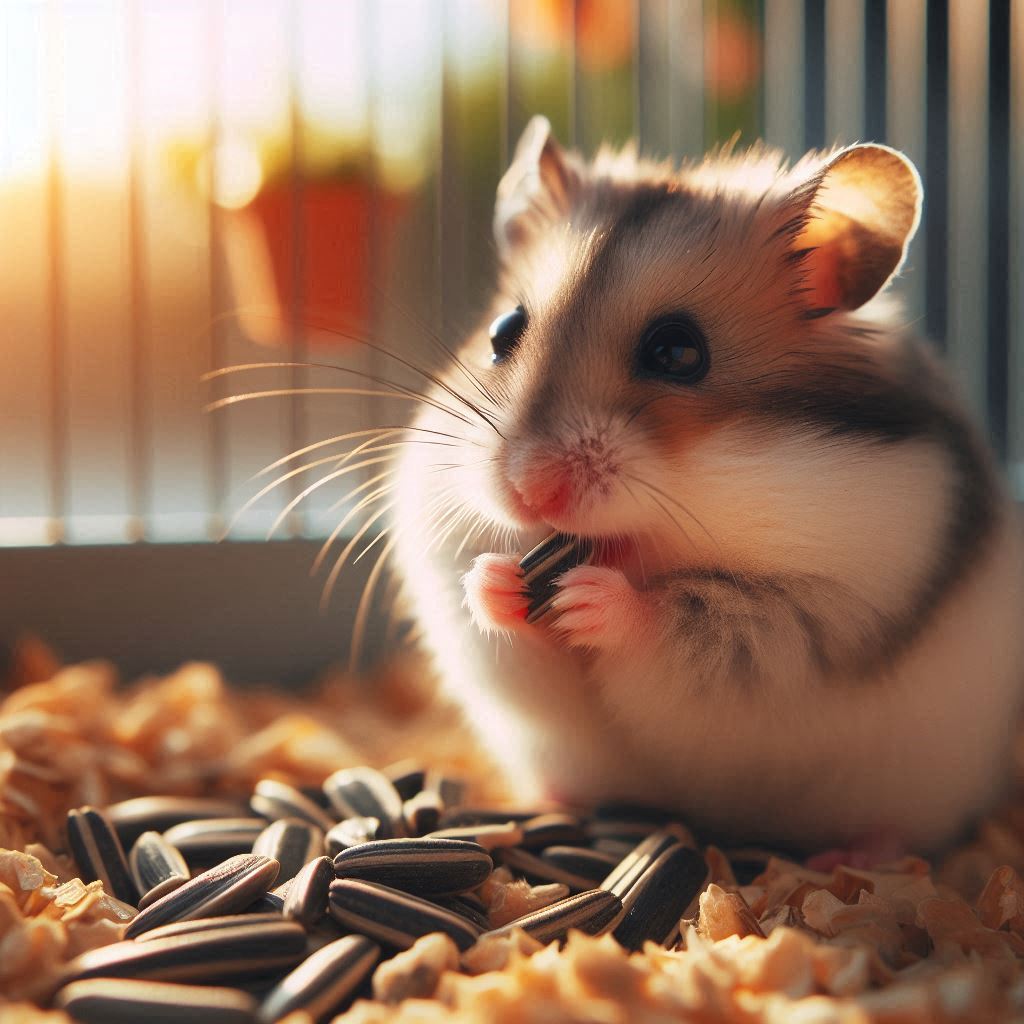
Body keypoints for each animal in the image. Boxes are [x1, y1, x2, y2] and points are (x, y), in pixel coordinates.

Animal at [389, 117, 1024, 856]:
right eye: (501, 332)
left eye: (678, 352)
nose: (530, 492)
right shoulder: (452, 576)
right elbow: (491, 613)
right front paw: (495, 582)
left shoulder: (814, 619)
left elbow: (684, 625)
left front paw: (588, 599)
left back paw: (863, 854)